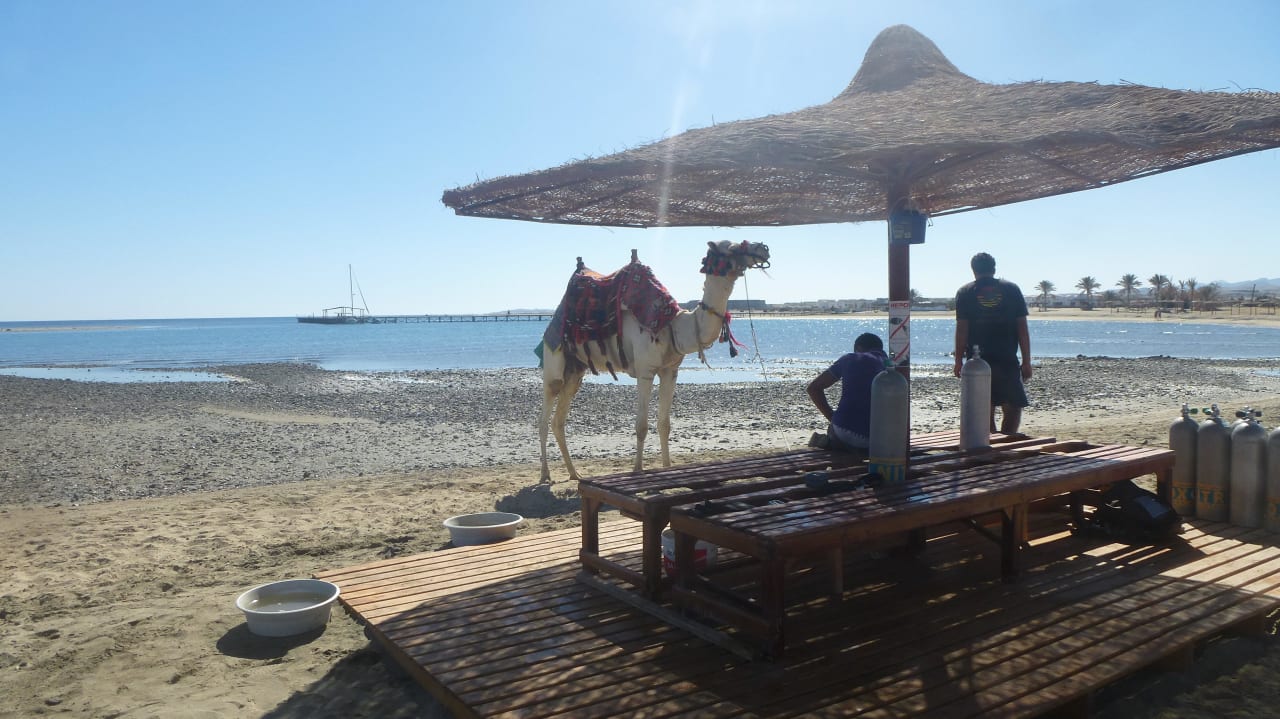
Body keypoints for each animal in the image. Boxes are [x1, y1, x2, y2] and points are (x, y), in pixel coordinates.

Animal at [538, 240, 771, 482]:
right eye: (733, 248)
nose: (763, 248)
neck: (673, 326)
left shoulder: (670, 371)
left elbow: (664, 424)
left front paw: (667, 467)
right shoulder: (645, 370)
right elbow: (641, 425)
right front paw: (637, 470)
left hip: (576, 369)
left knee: (559, 420)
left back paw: (575, 474)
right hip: (554, 356)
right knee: (545, 416)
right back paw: (545, 475)